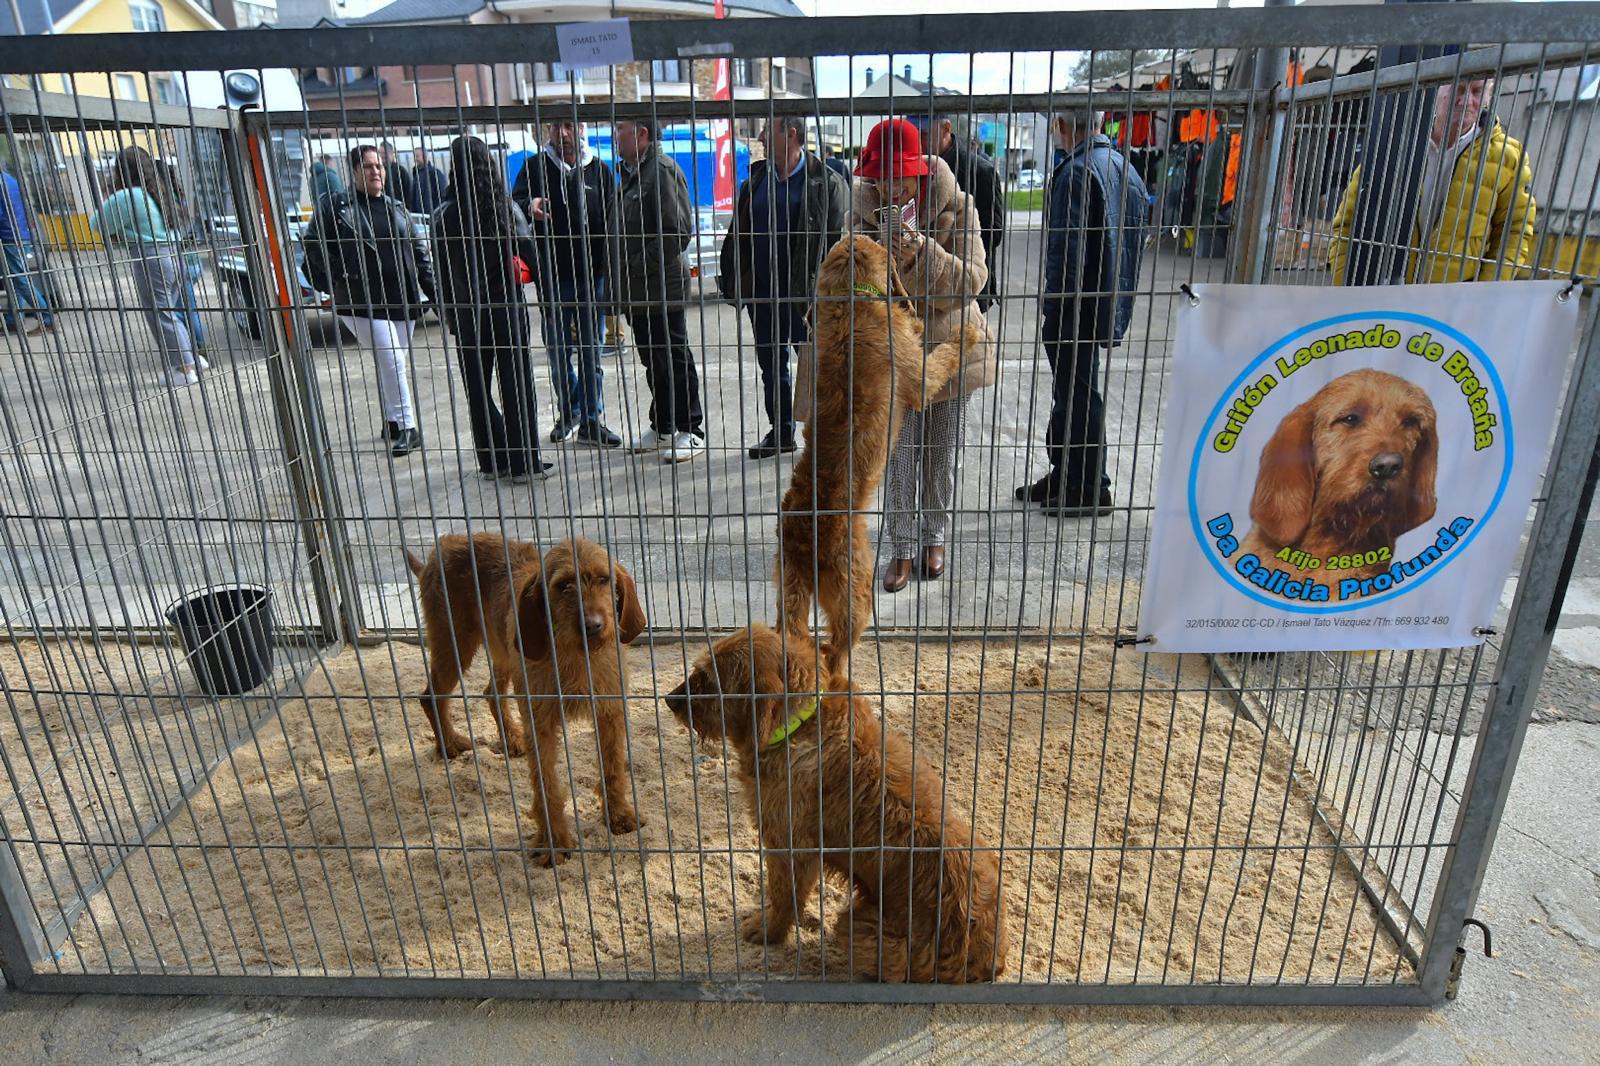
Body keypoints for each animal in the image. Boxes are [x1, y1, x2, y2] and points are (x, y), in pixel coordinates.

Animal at [403, 531, 646, 864]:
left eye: (604, 579)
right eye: (563, 585)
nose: (593, 625)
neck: (576, 657)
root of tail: (443, 545)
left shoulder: (610, 712)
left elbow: (612, 769)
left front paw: (619, 815)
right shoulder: (539, 721)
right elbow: (546, 784)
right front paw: (553, 840)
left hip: (503, 651)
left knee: (491, 692)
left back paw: (510, 738)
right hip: (455, 645)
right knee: (430, 696)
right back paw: (449, 743)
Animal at [662, 624, 1011, 979]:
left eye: (708, 678)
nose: (670, 699)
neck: (797, 725)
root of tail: (985, 960)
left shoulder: (789, 846)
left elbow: (785, 896)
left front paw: (769, 932)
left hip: (858, 928)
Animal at [777, 235, 985, 672]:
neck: (852, 303)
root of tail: (802, 539)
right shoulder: (921, 376)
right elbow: (943, 352)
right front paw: (965, 332)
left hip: (788, 591)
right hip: (855, 594)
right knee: (834, 651)